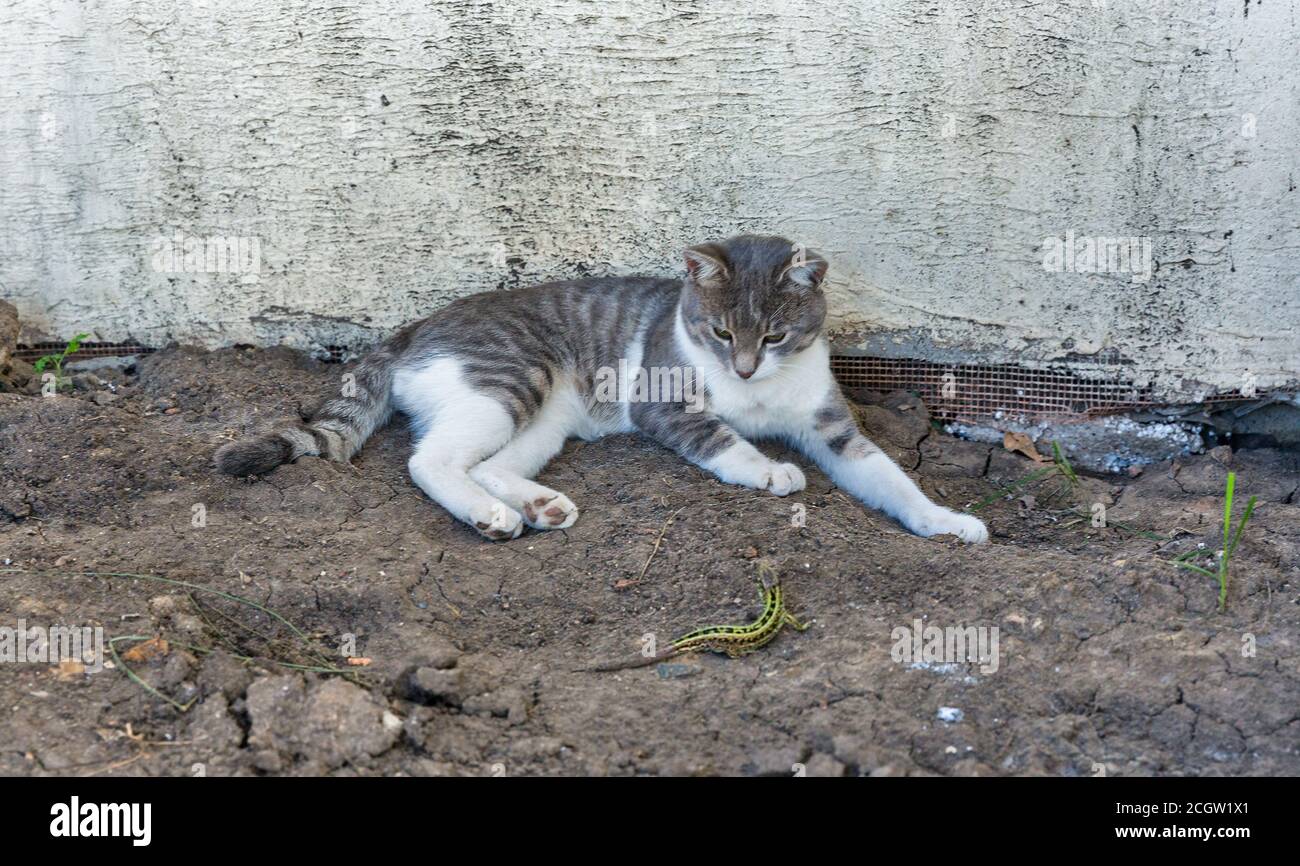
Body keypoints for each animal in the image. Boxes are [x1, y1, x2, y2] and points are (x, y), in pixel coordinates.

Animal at [215, 232, 982, 543]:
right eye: (718, 332)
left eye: (774, 337)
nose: (741, 370)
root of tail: (414, 327)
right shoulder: (663, 403)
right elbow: (725, 439)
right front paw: (770, 471)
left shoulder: (831, 424)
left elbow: (891, 477)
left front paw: (945, 521)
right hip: (511, 379)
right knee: (428, 461)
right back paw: (491, 516)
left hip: (543, 417)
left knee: (484, 463)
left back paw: (536, 505)